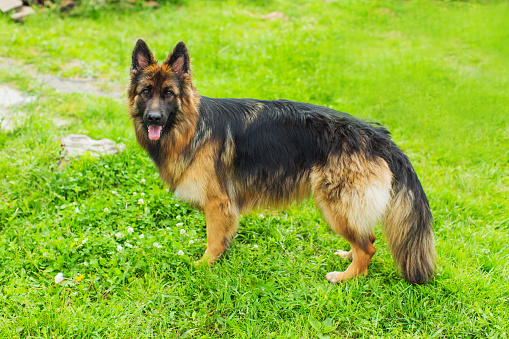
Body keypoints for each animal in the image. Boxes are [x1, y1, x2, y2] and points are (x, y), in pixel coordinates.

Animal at [129, 39, 434, 284]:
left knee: (368, 248)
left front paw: (204, 266)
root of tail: (377, 136)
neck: (192, 127)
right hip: (347, 208)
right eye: (146, 92)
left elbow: (213, 241)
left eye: (168, 93)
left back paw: (346, 278)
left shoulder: (218, 204)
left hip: (335, 206)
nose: (153, 118)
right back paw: (347, 256)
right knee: (367, 238)